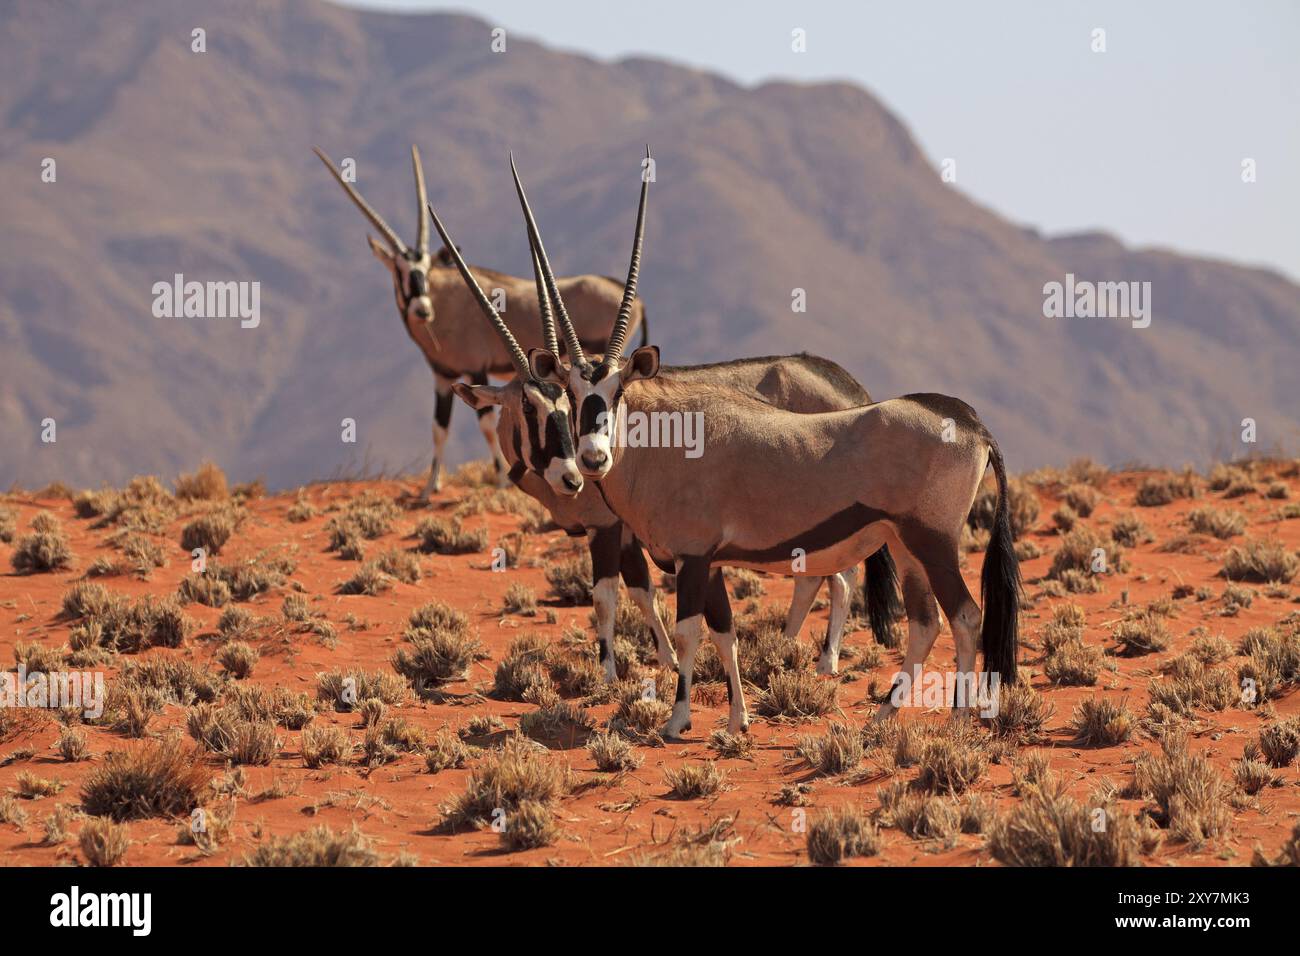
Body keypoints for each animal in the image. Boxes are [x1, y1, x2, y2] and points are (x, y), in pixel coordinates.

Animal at [315, 147, 650, 502]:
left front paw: (501, 481)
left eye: (426, 269)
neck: (445, 301)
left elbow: (486, 422)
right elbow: (439, 428)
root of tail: (637, 300)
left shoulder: (477, 368)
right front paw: (429, 489)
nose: (422, 309)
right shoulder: (442, 375)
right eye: (401, 271)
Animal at [512, 149, 1019, 738]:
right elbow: (724, 632)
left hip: (932, 539)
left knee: (964, 615)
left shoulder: (693, 556)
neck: (664, 438)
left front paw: (677, 720)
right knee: (925, 621)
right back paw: (882, 717)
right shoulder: (709, 562)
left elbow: (688, 633)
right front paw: (738, 719)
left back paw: (958, 718)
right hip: (904, 544)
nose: (593, 458)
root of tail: (969, 421)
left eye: (617, 391)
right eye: (571, 392)